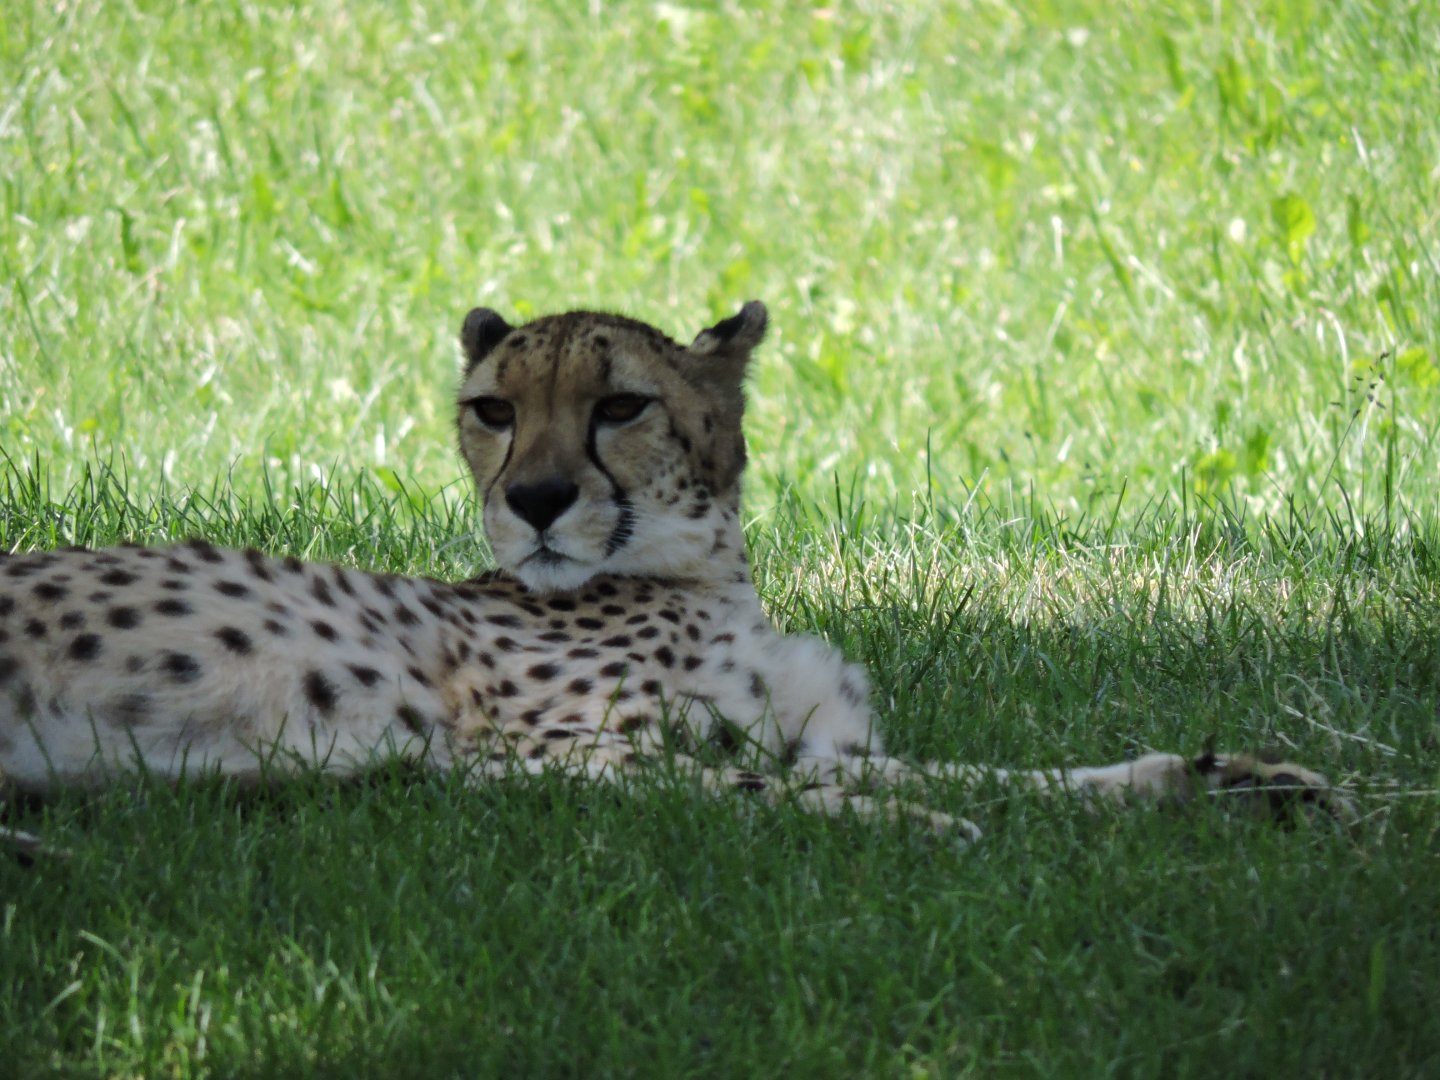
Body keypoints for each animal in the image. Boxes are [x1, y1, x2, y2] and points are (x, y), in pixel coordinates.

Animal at [0, 300, 1345, 850]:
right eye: (493, 410)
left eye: (621, 405)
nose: (538, 501)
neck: (701, 574)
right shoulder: (522, 760)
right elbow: (756, 793)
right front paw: (917, 831)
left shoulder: (816, 739)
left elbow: (1015, 775)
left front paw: (1221, 780)